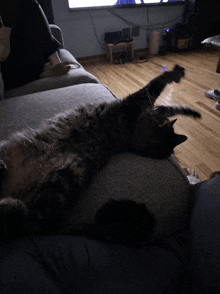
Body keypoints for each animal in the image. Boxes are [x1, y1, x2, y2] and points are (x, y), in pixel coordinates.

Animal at [0, 65, 201, 245]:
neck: (130, 137)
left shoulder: (135, 102)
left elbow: (157, 83)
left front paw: (175, 74)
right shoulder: (144, 107)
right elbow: (167, 105)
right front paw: (191, 110)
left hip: (64, 175)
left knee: (32, 226)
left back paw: (8, 203)